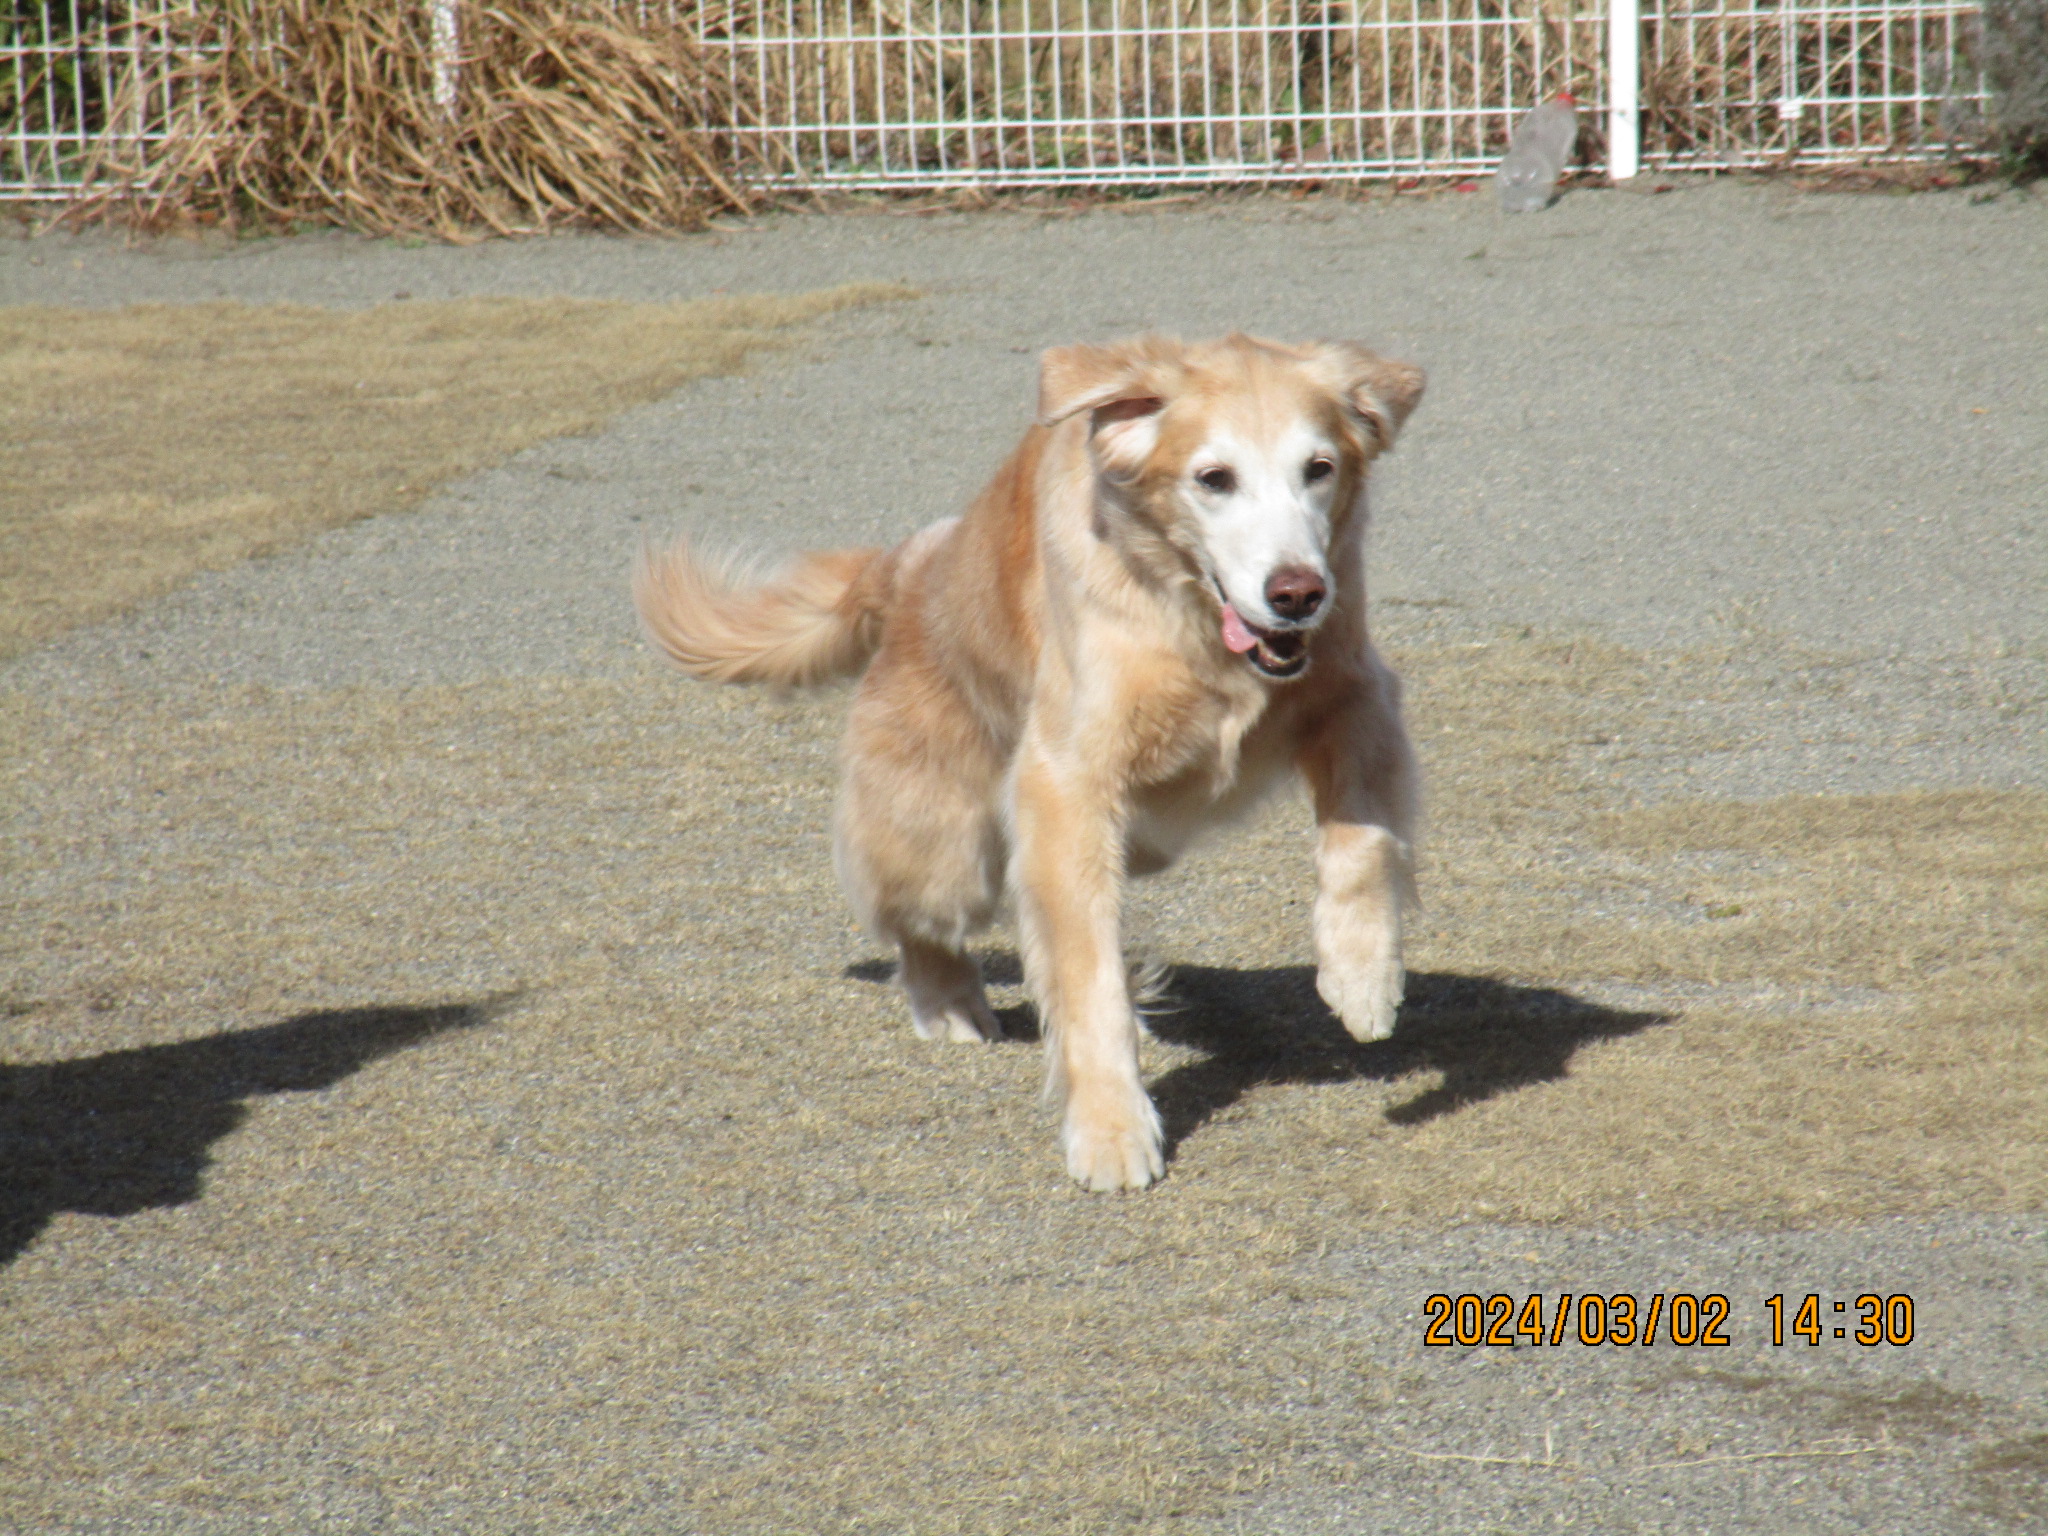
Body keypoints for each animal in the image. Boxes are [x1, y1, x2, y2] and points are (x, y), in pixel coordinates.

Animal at [634, 333, 1425, 1204]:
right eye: (1213, 478)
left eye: (1319, 467)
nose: (1296, 594)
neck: (1189, 624)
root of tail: (910, 566)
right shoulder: (1066, 784)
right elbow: (1088, 983)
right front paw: (1111, 1130)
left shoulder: (1357, 692)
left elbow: (1364, 840)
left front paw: (1363, 977)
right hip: (944, 846)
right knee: (918, 925)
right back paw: (949, 1004)